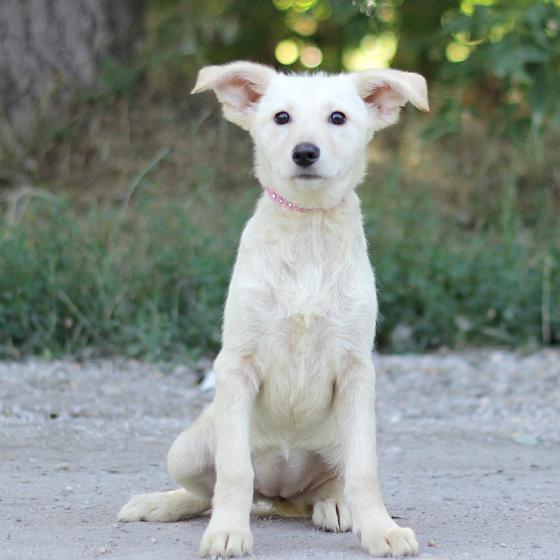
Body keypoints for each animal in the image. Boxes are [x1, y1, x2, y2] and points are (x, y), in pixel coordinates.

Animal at [118, 61, 428, 558]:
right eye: (281, 117)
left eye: (338, 118)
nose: (305, 153)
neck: (307, 229)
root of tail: (279, 495)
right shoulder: (236, 364)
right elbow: (233, 471)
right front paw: (228, 531)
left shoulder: (357, 370)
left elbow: (364, 471)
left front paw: (381, 530)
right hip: (186, 449)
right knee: (206, 491)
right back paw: (161, 503)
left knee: (330, 485)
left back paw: (333, 507)